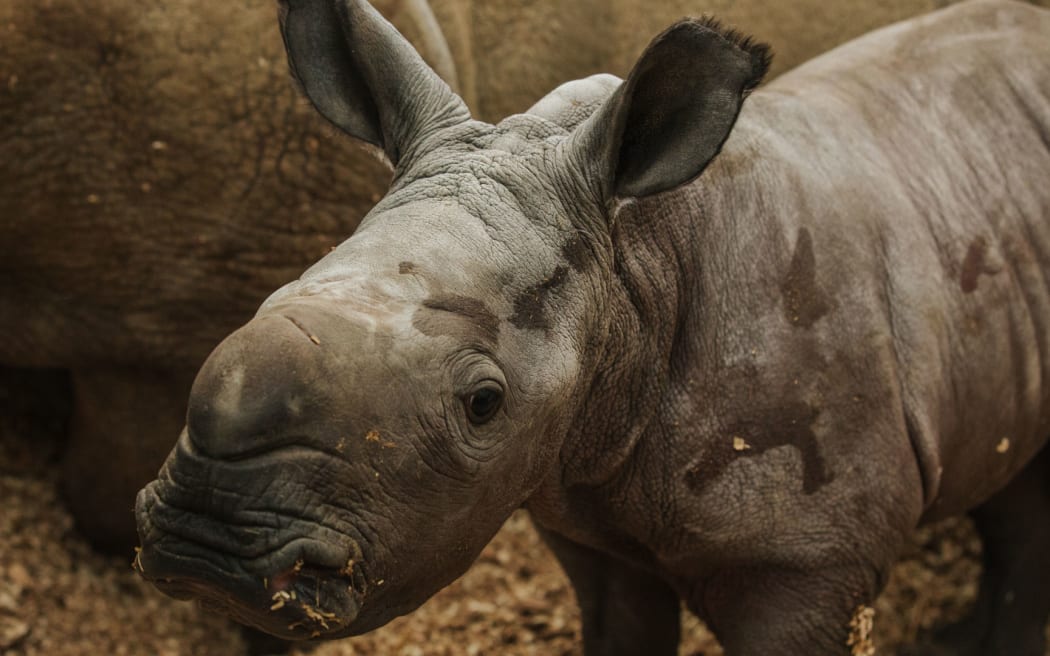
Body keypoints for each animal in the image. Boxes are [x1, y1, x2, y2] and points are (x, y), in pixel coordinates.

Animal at [135, 0, 1050, 650]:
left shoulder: (807, 558)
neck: (637, 267)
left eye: (483, 403)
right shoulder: (589, 515)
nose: (209, 543)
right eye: (267, 300)